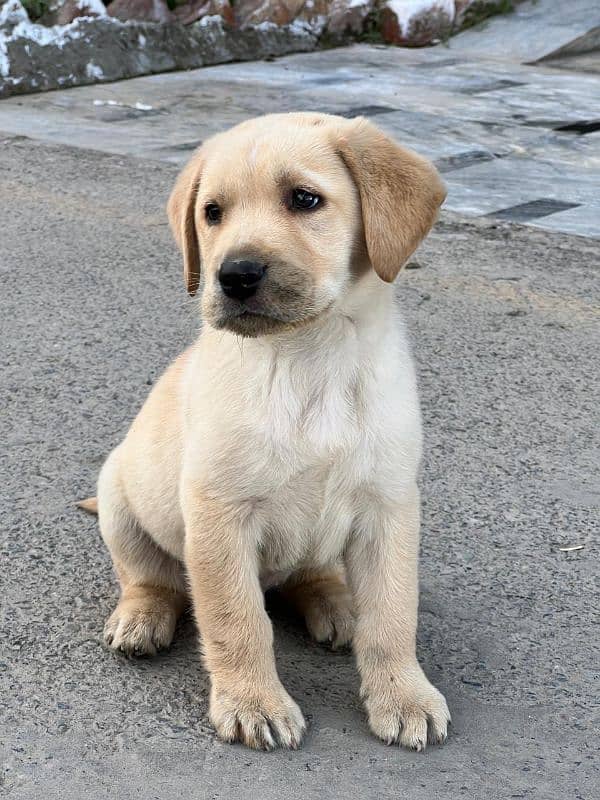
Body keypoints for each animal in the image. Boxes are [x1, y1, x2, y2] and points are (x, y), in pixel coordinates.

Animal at [85, 111, 450, 752]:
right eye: (212, 212)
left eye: (304, 199)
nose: (234, 275)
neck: (310, 355)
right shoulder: (219, 513)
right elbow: (237, 618)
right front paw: (253, 703)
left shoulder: (389, 506)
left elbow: (392, 615)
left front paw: (404, 695)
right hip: (119, 498)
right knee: (152, 578)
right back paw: (142, 618)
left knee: (315, 575)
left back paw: (336, 605)